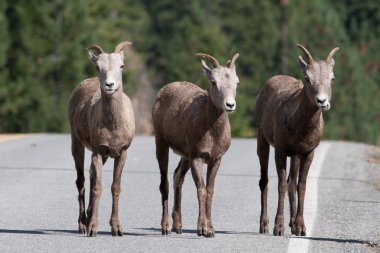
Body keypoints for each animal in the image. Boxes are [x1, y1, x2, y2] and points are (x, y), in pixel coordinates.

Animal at [68, 40, 135, 236]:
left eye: (121, 66)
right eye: (98, 67)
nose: (109, 85)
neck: (113, 126)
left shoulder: (121, 153)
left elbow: (115, 187)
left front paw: (116, 228)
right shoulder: (97, 152)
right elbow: (98, 188)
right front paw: (92, 228)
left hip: (104, 156)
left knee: (90, 175)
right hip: (77, 145)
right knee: (81, 181)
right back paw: (83, 224)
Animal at [151, 52, 238, 237]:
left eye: (237, 82)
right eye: (214, 82)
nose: (230, 105)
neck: (211, 131)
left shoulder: (215, 160)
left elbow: (210, 191)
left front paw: (211, 229)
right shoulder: (197, 158)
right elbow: (201, 190)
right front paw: (202, 229)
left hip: (185, 156)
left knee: (177, 177)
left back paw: (178, 226)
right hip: (161, 143)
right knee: (164, 183)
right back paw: (166, 227)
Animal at [255, 44, 338, 236]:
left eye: (332, 79)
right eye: (307, 78)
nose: (322, 101)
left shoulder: (307, 152)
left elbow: (300, 186)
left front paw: (300, 227)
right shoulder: (280, 151)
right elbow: (281, 186)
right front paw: (278, 228)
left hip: (295, 156)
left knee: (292, 183)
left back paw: (292, 224)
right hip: (262, 140)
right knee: (264, 181)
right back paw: (264, 225)